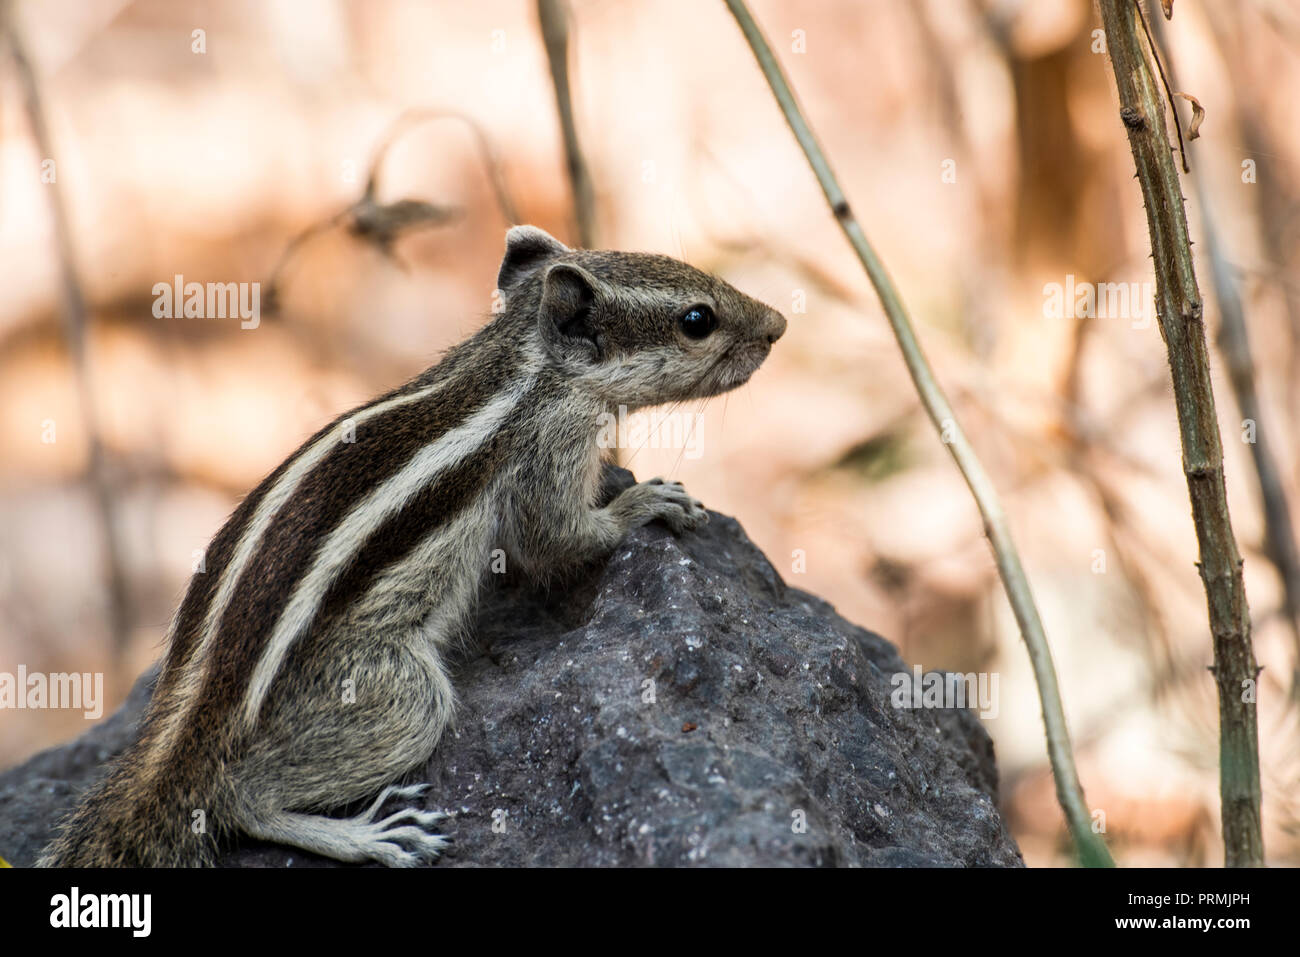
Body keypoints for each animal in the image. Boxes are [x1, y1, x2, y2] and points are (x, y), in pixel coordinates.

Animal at [40, 223, 785, 868]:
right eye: (698, 320)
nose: (779, 324)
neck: (520, 359)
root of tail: (190, 724)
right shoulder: (549, 452)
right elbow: (559, 538)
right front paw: (647, 500)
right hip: (394, 696)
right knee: (244, 799)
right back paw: (369, 836)